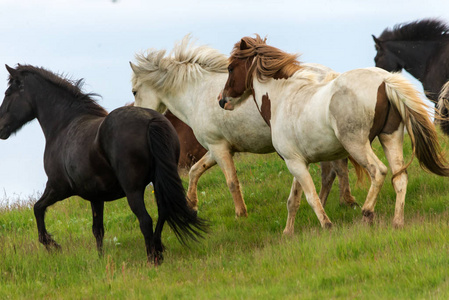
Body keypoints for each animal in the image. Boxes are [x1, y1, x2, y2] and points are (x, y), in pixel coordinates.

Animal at [0, 64, 206, 264]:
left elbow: (38, 208)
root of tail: (151, 121)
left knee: (145, 220)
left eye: (8, 93)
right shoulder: (95, 196)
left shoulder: (58, 187)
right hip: (159, 181)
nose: (1, 127)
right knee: (163, 212)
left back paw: (152, 259)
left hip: (133, 190)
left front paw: (53, 245)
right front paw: (99, 258)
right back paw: (158, 249)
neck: (64, 126)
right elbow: (97, 229)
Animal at [130, 35, 356, 218]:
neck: (196, 93)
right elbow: (195, 171)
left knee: (336, 169)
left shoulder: (219, 148)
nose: (138, 118)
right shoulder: (216, 148)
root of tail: (331, 75)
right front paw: (192, 205)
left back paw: (346, 201)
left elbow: (231, 182)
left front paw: (241, 214)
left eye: (134, 91)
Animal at [218, 34, 448, 232]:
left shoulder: (294, 163)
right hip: (390, 137)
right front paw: (287, 233)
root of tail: (384, 80)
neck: (282, 98)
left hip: (356, 144)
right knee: (400, 178)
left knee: (379, 171)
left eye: (230, 68)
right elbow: (294, 200)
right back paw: (397, 222)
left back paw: (367, 213)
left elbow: (311, 197)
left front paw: (326, 226)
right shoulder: (297, 162)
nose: (222, 100)